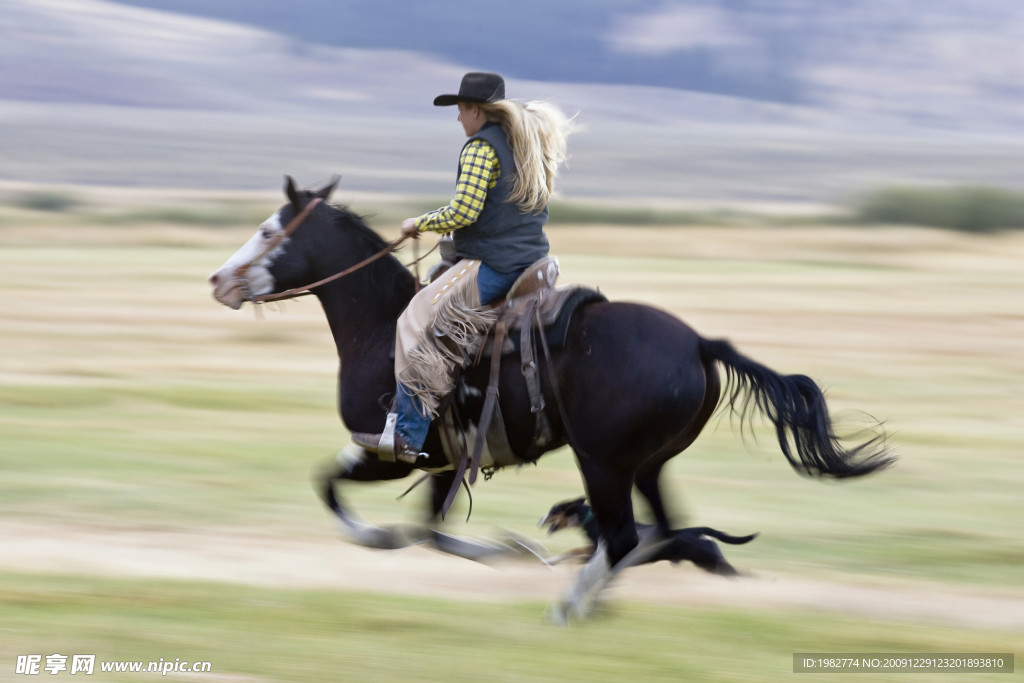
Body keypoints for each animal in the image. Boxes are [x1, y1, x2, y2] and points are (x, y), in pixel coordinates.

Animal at [209, 179, 897, 622]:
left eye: (269, 230)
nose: (219, 280)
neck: (380, 328)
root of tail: (700, 342)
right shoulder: (442, 462)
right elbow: (424, 528)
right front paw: (504, 550)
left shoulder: (393, 451)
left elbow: (347, 497)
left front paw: (490, 550)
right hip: (647, 464)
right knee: (661, 530)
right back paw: (596, 596)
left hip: (604, 462)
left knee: (624, 535)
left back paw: (570, 604)